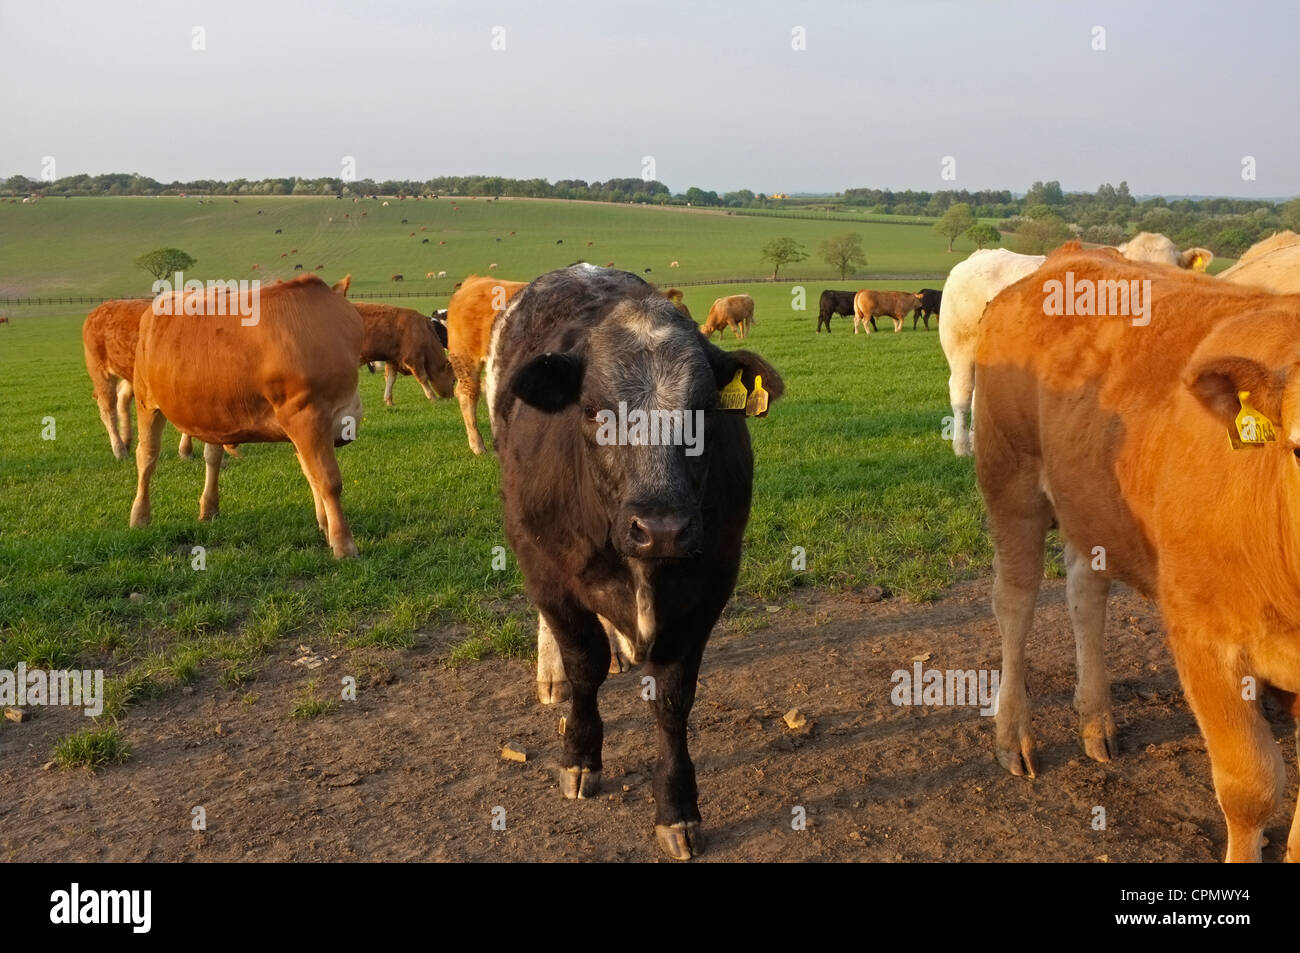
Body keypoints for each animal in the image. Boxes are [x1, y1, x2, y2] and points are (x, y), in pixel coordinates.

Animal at [83, 298, 198, 460]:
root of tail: (102, 307)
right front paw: (186, 451)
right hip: (99, 370)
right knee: (108, 408)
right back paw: (120, 450)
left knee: (122, 398)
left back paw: (126, 441)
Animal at [129, 274, 363, 558]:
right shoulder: (306, 414)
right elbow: (328, 480)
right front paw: (343, 544)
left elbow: (312, 476)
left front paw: (326, 528)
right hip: (146, 400)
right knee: (147, 456)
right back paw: (140, 516)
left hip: (211, 411)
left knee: (212, 456)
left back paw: (209, 507)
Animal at [486, 264, 783, 859]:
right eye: (594, 410)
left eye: (704, 411)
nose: (661, 527)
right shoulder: (545, 567)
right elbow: (584, 664)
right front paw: (579, 756)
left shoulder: (712, 580)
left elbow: (672, 696)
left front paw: (677, 806)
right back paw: (552, 675)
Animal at [974, 244, 1300, 862]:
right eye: (1299, 447)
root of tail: (1068, 255)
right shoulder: (1203, 636)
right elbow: (1250, 788)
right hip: (1010, 476)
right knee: (1014, 602)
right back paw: (1013, 735)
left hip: (1090, 496)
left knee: (1086, 593)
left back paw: (1095, 720)